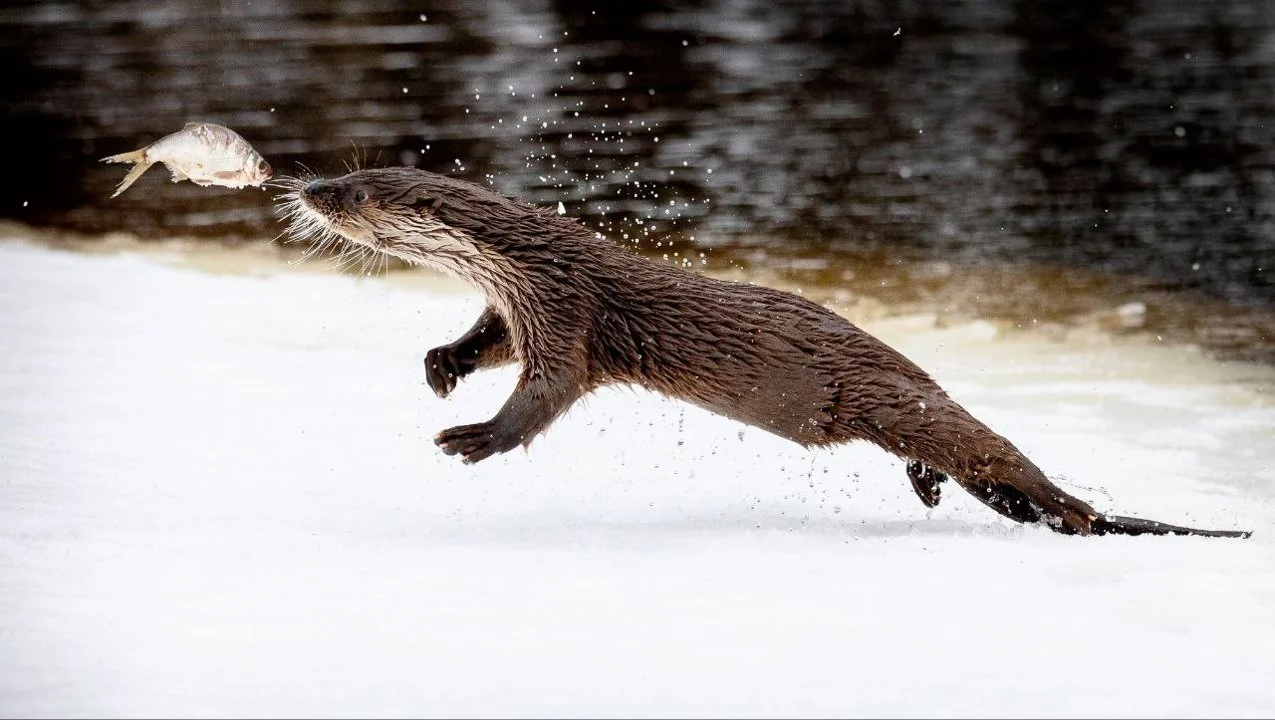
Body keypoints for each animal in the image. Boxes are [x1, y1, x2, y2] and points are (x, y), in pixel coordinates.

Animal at [279, 166, 1250, 539]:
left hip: (901, 399)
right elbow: (486, 340)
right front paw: (441, 366)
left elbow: (543, 397)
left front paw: (473, 440)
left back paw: (1084, 518)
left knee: (1017, 468)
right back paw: (929, 491)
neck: (530, 263)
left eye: (352, 191)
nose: (307, 185)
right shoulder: (517, 305)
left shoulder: (568, 314)